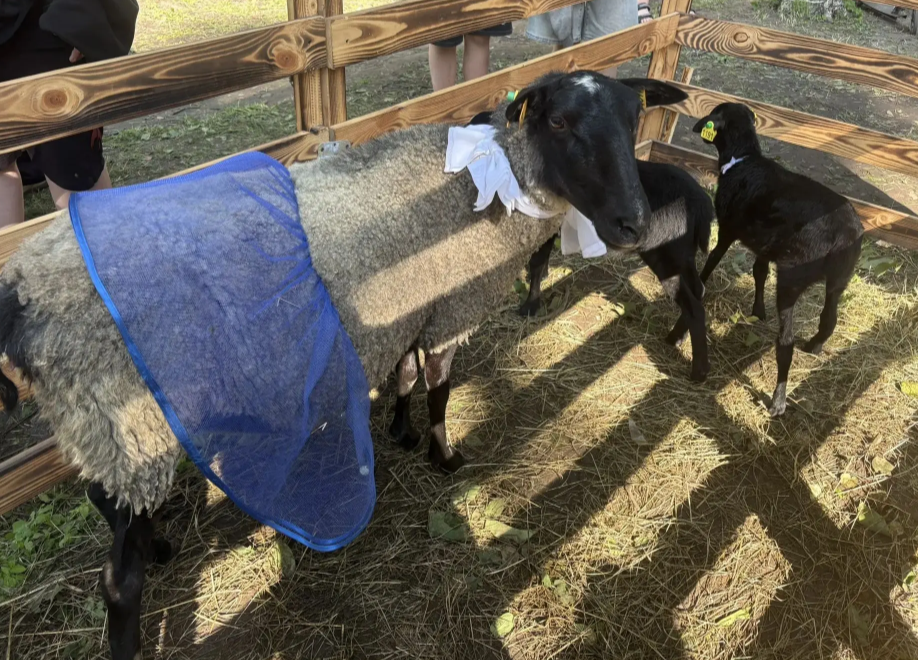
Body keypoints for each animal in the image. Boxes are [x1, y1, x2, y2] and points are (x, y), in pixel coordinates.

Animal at [0, 70, 689, 660]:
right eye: (562, 122)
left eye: (633, 121)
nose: (632, 224)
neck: (490, 181)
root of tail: (23, 291)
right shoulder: (451, 305)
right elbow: (440, 387)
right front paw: (445, 456)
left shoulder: (410, 306)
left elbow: (406, 377)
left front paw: (401, 432)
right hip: (128, 419)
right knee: (119, 583)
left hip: (108, 429)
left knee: (108, 501)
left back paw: (161, 543)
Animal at [517, 159, 715, 382]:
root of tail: (702, 205)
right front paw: (542, 279)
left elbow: (536, 260)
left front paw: (530, 306)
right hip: (683, 255)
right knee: (698, 290)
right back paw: (675, 337)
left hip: (666, 256)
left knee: (694, 307)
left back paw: (698, 372)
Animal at [689, 101, 864, 416]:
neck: (742, 160)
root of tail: (842, 235)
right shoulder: (765, 245)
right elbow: (759, 271)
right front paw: (758, 309)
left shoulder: (728, 227)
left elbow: (714, 258)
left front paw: (702, 283)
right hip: (840, 278)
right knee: (828, 320)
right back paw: (813, 347)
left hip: (792, 276)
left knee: (785, 343)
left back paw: (778, 401)